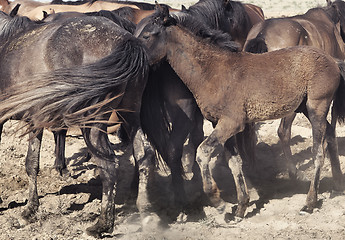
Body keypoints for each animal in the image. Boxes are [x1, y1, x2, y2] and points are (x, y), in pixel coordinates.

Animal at [0, 11, 154, 236]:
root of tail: (125, 40)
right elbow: (33, 162)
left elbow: (30, 162)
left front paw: (28, 210)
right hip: (131, 114)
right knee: (144, 156)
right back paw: (147, 214)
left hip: (91, 123)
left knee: (108, 166)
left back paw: (102, 225)